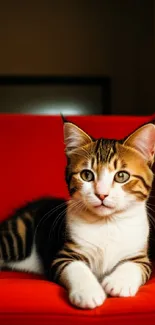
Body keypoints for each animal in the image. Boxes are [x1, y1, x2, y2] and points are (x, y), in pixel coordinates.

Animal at [0, 119, 155, 308]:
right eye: (86, 175)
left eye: (121, 176)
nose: (102, 194)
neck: (107, 222)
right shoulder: (64, 254)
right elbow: (75, 267)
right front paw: (89, 293)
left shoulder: (141, 255)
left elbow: (135, 265)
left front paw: (118, 283)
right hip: (19, 235)